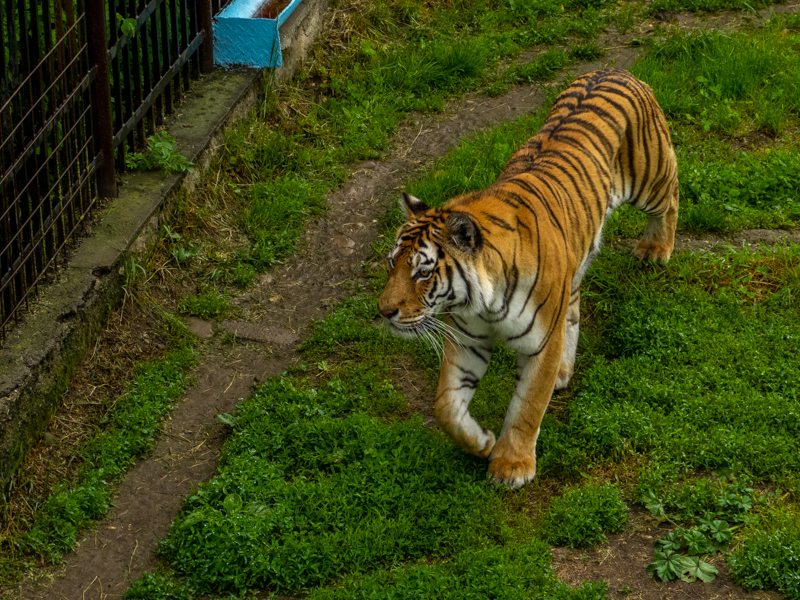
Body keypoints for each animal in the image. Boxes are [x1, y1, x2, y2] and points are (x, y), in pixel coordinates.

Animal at [377, 69, 679, 489]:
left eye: (423, 271)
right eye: (392, 264)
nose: (384, 311)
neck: (481, 302)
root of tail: (614, 70)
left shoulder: (541, 344)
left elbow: (527, 407)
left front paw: (511, 465)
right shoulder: (467, 341)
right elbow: (446, 407)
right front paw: (482, 442)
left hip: (649, 179)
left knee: (671, 195)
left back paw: (656, 247)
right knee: (574, 307)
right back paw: (564, 371)